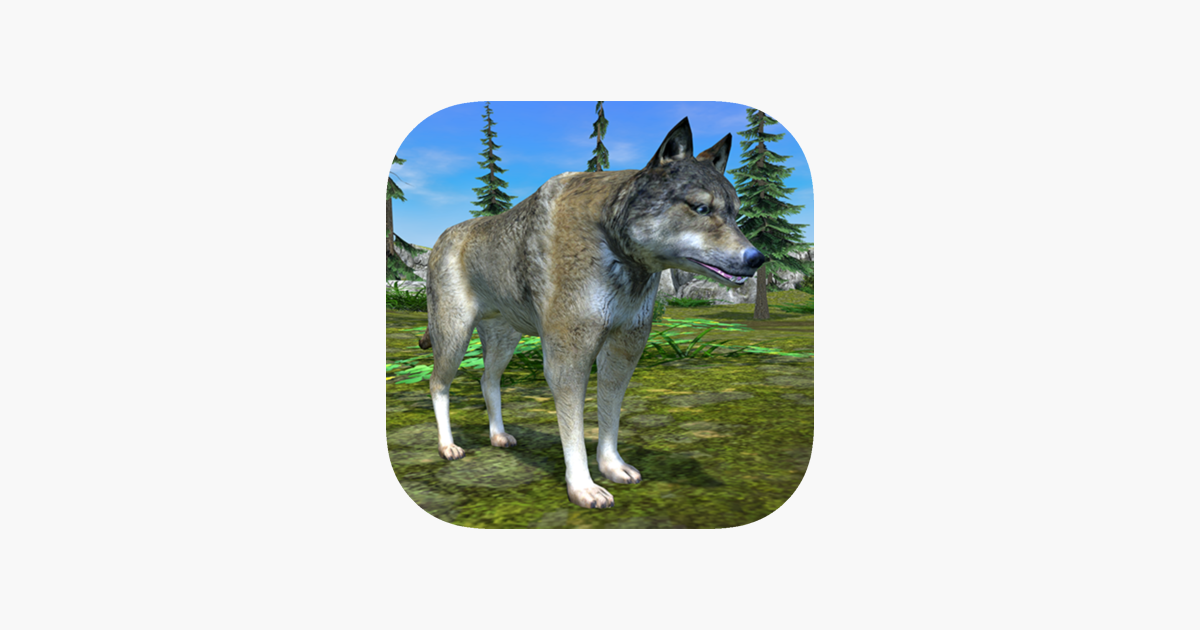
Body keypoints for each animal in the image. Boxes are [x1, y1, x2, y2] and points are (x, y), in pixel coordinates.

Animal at [417, 118, 766, 508]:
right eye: (701, 208)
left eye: (735, 213)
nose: (757, 259)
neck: (613, 242)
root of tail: (441, 239)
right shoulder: (567, 357)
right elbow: (574, 430)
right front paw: (583, 487)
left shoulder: (624, 350)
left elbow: (609, 414)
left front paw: (612, 466)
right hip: (454, 336)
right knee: (438, 384)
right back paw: (447, 446)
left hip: (504, 339)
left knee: (487, 380)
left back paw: (498, 436)